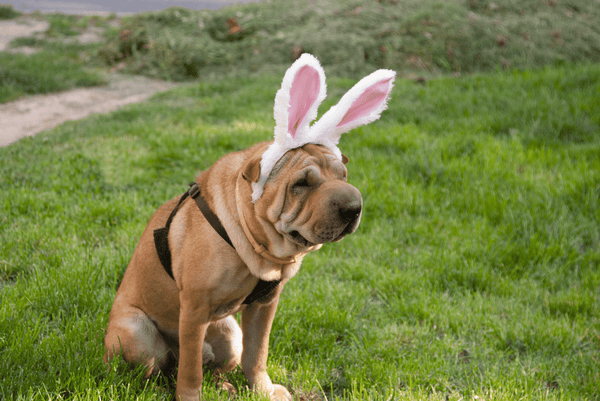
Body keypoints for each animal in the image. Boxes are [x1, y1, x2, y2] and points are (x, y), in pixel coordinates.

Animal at [103, 54, 394, 400]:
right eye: (301, 184)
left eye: (343, 175)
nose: (354, 206)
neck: (256, 243)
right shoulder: (194, 310)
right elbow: (190, 371)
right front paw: (190, 397)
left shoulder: (264, 306)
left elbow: (257, 353)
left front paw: (262, 390)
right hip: (136, 334)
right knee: (160, 369)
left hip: (230, 333)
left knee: (212, 363)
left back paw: (223, 385)